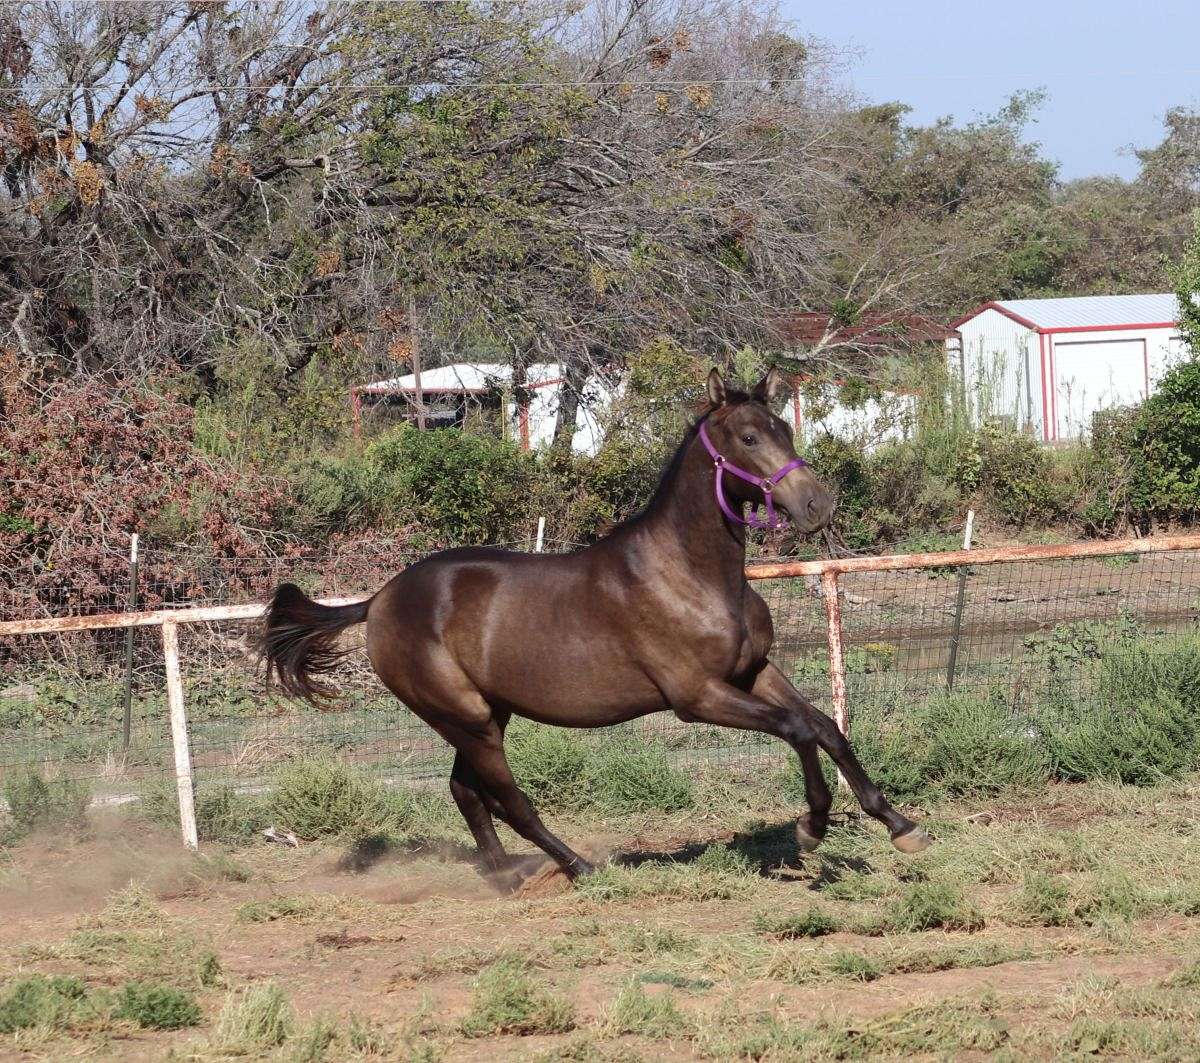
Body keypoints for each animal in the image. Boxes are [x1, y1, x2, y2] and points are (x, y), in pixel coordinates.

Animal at [262, 367, 931, 883]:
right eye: (747, 436)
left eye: (785, 429)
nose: (818, 505)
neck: (688, 574)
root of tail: (377, 602)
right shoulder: (697, 696)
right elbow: (797, 729)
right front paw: (812, 826)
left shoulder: (753, 672)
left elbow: (826, 727)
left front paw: (899, 825)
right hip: (468, 720)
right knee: (508, 799)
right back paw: (578, 867)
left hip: (485, 714)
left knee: (466, 792)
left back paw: (506, 875)